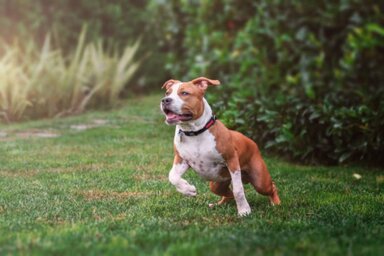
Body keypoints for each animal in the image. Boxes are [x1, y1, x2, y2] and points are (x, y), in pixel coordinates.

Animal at [160, 76, 280, 216]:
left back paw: (276, 203)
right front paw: (188, 190)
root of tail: (252, 141)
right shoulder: (181, 160)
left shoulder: (232, 160)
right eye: (167, 93)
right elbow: (172, 176)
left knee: (271, 186)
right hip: (216, 185)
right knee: (228, 194)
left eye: (185, 93)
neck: (194, 132)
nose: (165, 100)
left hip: (260, 181)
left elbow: (238, 190)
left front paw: (244, 210)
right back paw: (218, 204)